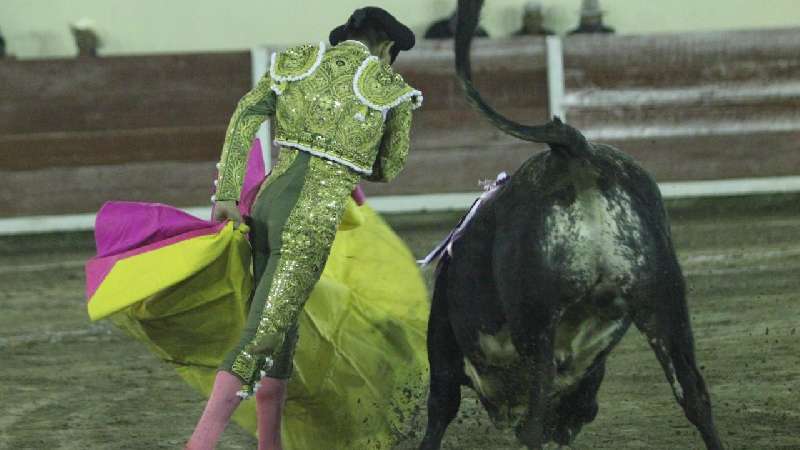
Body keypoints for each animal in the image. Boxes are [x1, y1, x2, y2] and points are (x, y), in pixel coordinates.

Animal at [418, 1, 724, 448]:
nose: (582, 416)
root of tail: (574, 153)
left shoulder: (444, 346)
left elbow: (440, 409)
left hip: (537, 321)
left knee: (532, 423)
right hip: (665, 303)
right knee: (695, 397)